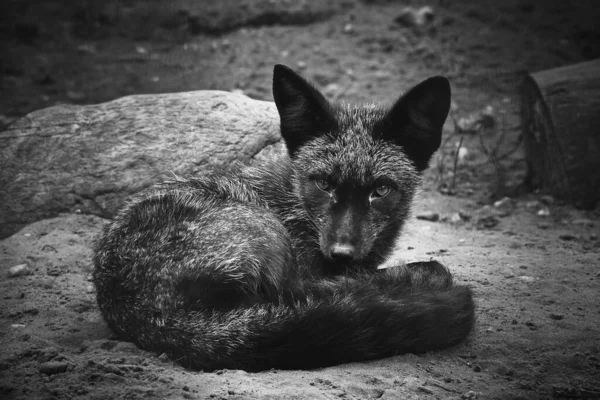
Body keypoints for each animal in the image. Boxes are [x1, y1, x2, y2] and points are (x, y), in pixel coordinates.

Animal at [92, 63, 474, 372]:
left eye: (380, 189)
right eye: (324, 183)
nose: (341, 253)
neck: (294, 207)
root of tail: (150, 316)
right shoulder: (309, 262)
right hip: (265, 233)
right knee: (299, 294)